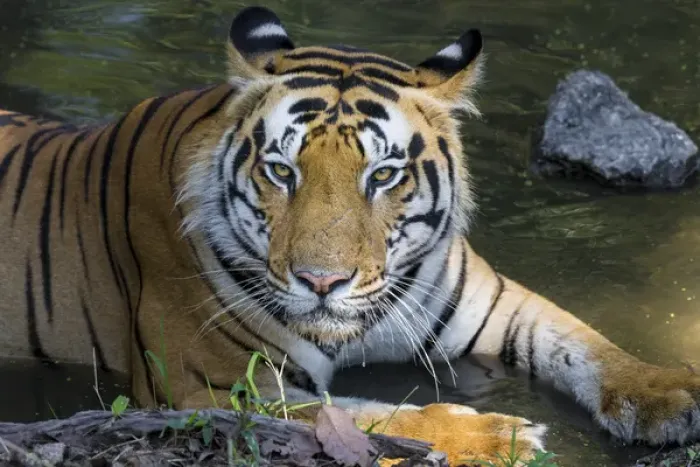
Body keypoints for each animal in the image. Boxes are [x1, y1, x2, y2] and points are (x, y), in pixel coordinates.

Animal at [0, 5, 698, 464]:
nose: (322, 282)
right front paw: (498, 435)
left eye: (383, 175)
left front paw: (669, 395)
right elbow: (361, 415)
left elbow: (581, 341)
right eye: (281, 171)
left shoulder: (494, 302)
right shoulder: (208, 386)